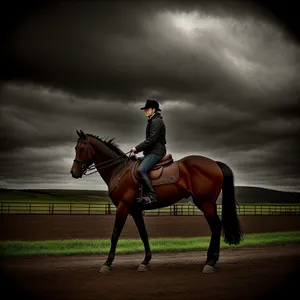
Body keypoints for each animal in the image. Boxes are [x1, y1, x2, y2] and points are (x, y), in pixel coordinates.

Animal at [71, 129, 244, 274]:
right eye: (75, 148)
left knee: (216, 226)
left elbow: (115, 234)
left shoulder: (123, 207)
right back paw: (211, 260)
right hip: (209, 203)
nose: (73, 172)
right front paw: (145, 261)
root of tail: (214, 163)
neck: (119, 170)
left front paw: (107, 263)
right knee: (216, 226)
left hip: (205, 203)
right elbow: (143, 234)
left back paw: (210, 262)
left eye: (81, 149)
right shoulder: (135, 210)